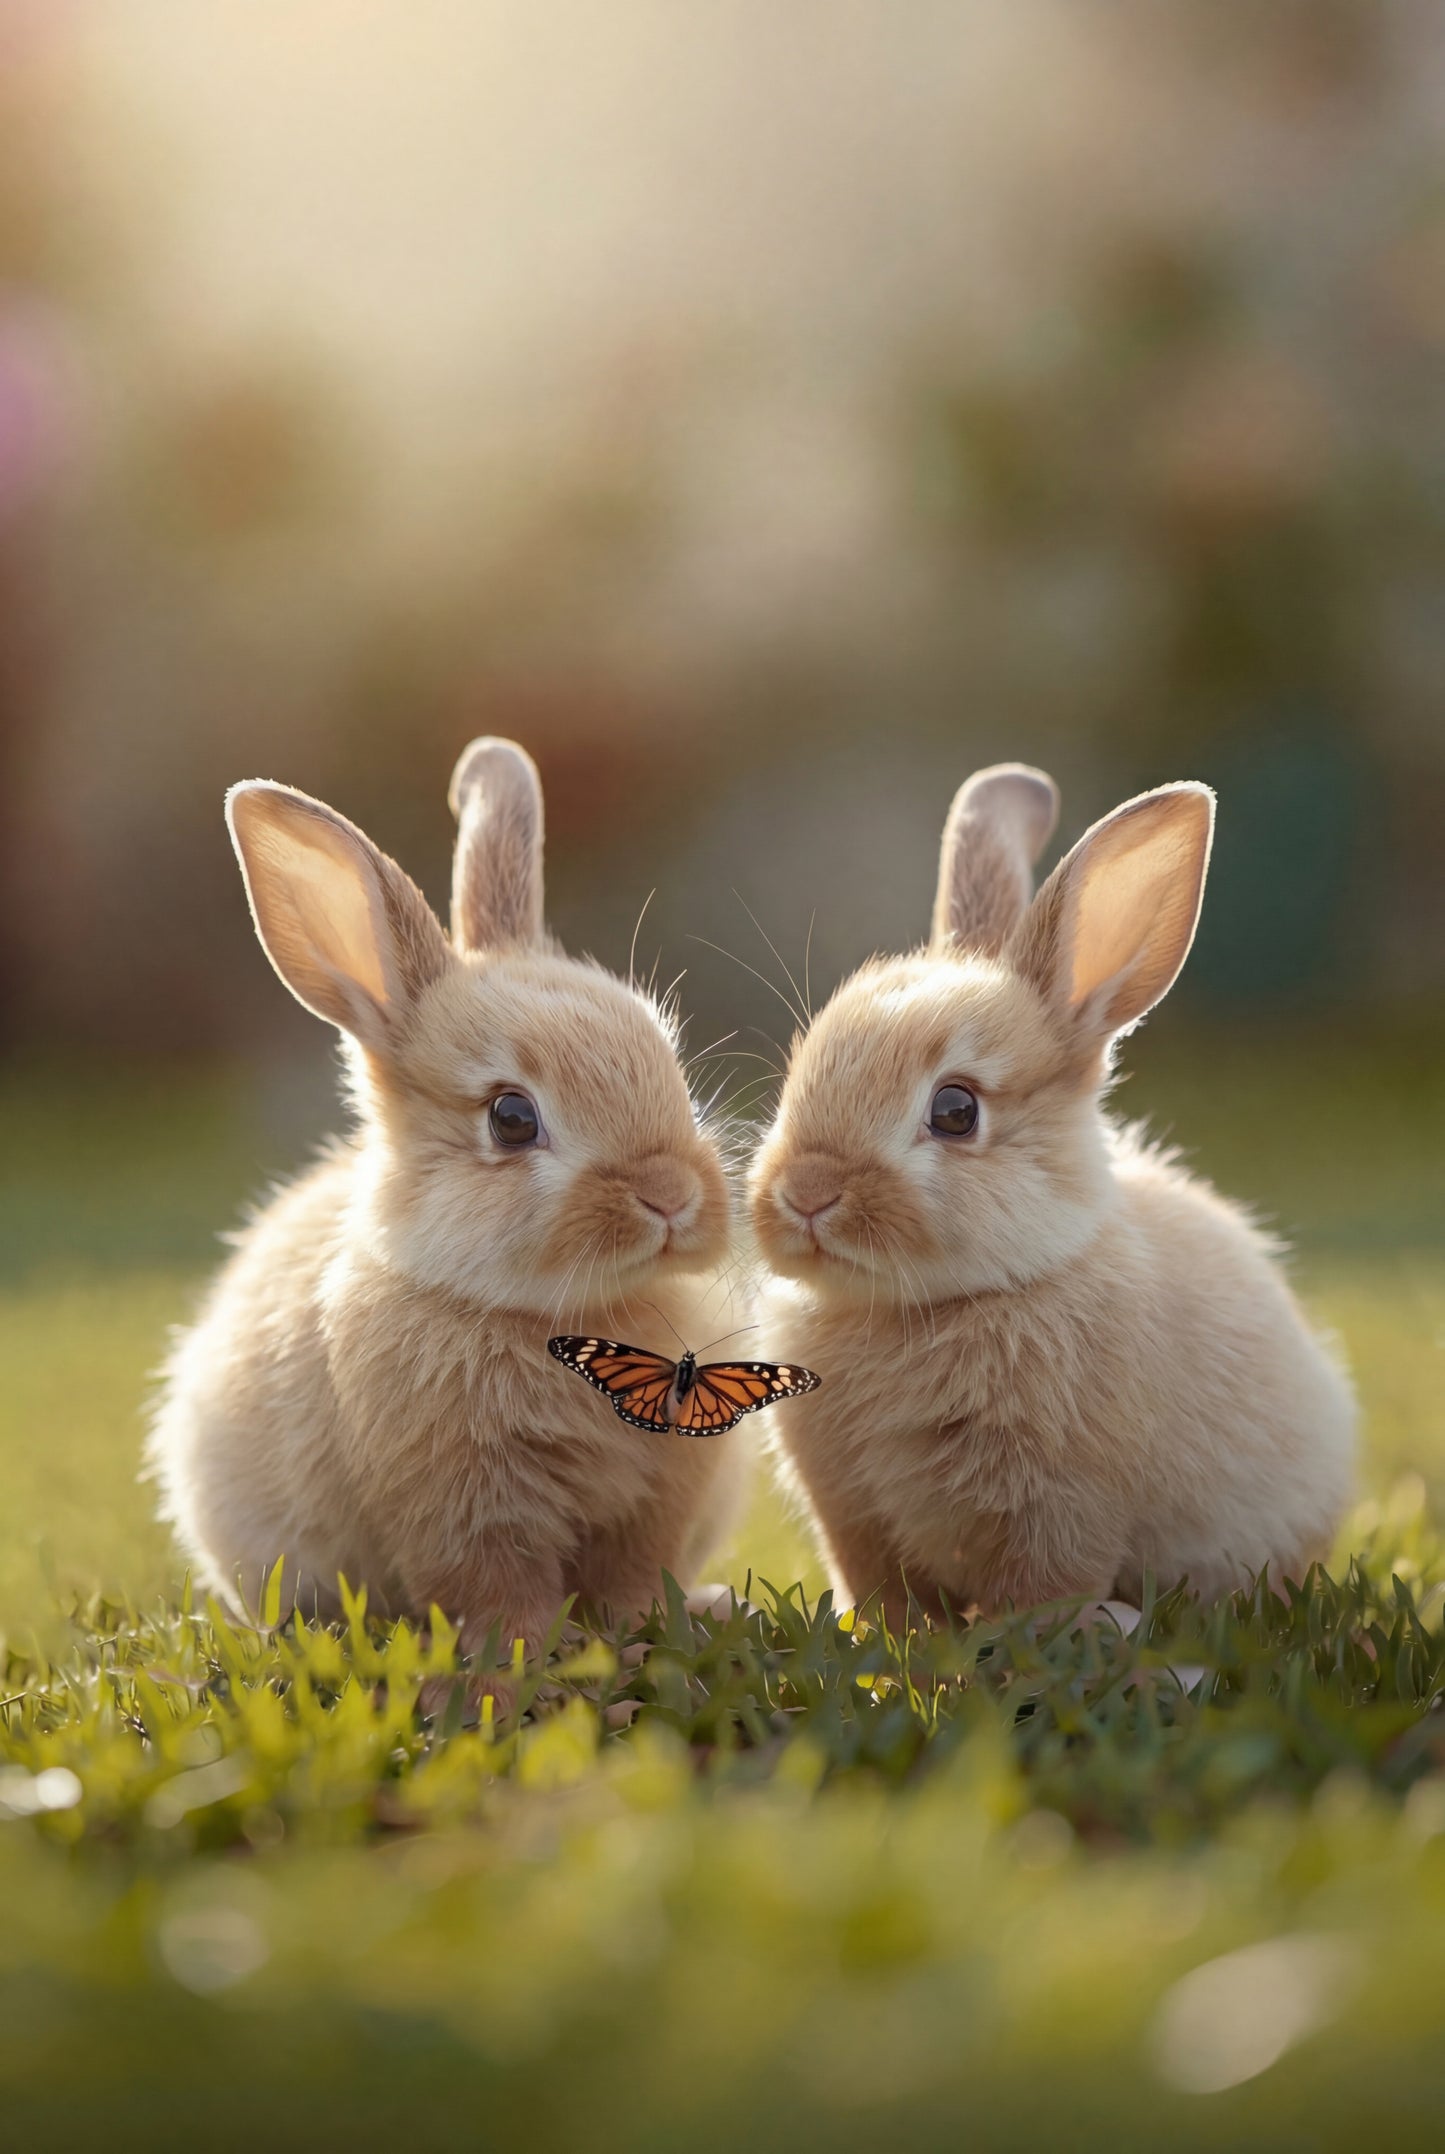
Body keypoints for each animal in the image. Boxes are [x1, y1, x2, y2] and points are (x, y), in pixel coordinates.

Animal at [149, 737, 745, 1663]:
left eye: (671, 1067)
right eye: (511, 1118)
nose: (671, 1196)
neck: (553, 1314)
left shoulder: (657, 1497)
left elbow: (631, 1577)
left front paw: (648, 1630)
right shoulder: (461, 1504)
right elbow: (495, 1587)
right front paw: (520, 1659)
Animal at [748, 764, 1355, 1627]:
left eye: (955, 1110)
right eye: (797, 1074)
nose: (805, 1192)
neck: (918, 1308)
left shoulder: (1061, 1506)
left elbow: (1045, 1589)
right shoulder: (852, 1520)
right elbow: (879, 1594)